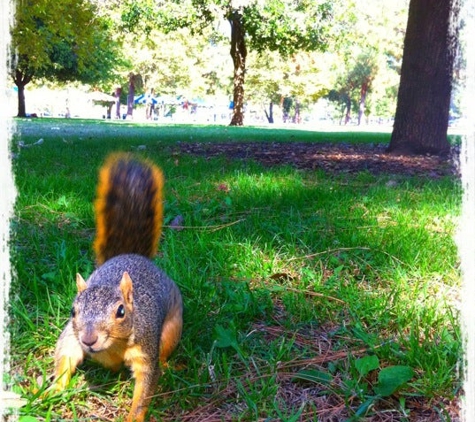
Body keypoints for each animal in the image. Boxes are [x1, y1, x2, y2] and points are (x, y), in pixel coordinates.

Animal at [52, 152, 184, 422]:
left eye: (121, 311)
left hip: (171, 329)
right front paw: (52, 390)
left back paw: (168, 364)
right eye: (73, 311)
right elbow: (69, 356)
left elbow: (146, 386)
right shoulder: (75, 337)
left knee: (164, 351)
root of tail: (131, 255)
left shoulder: (145, 349)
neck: (114, 345)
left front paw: (134, 416)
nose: (89, 339)